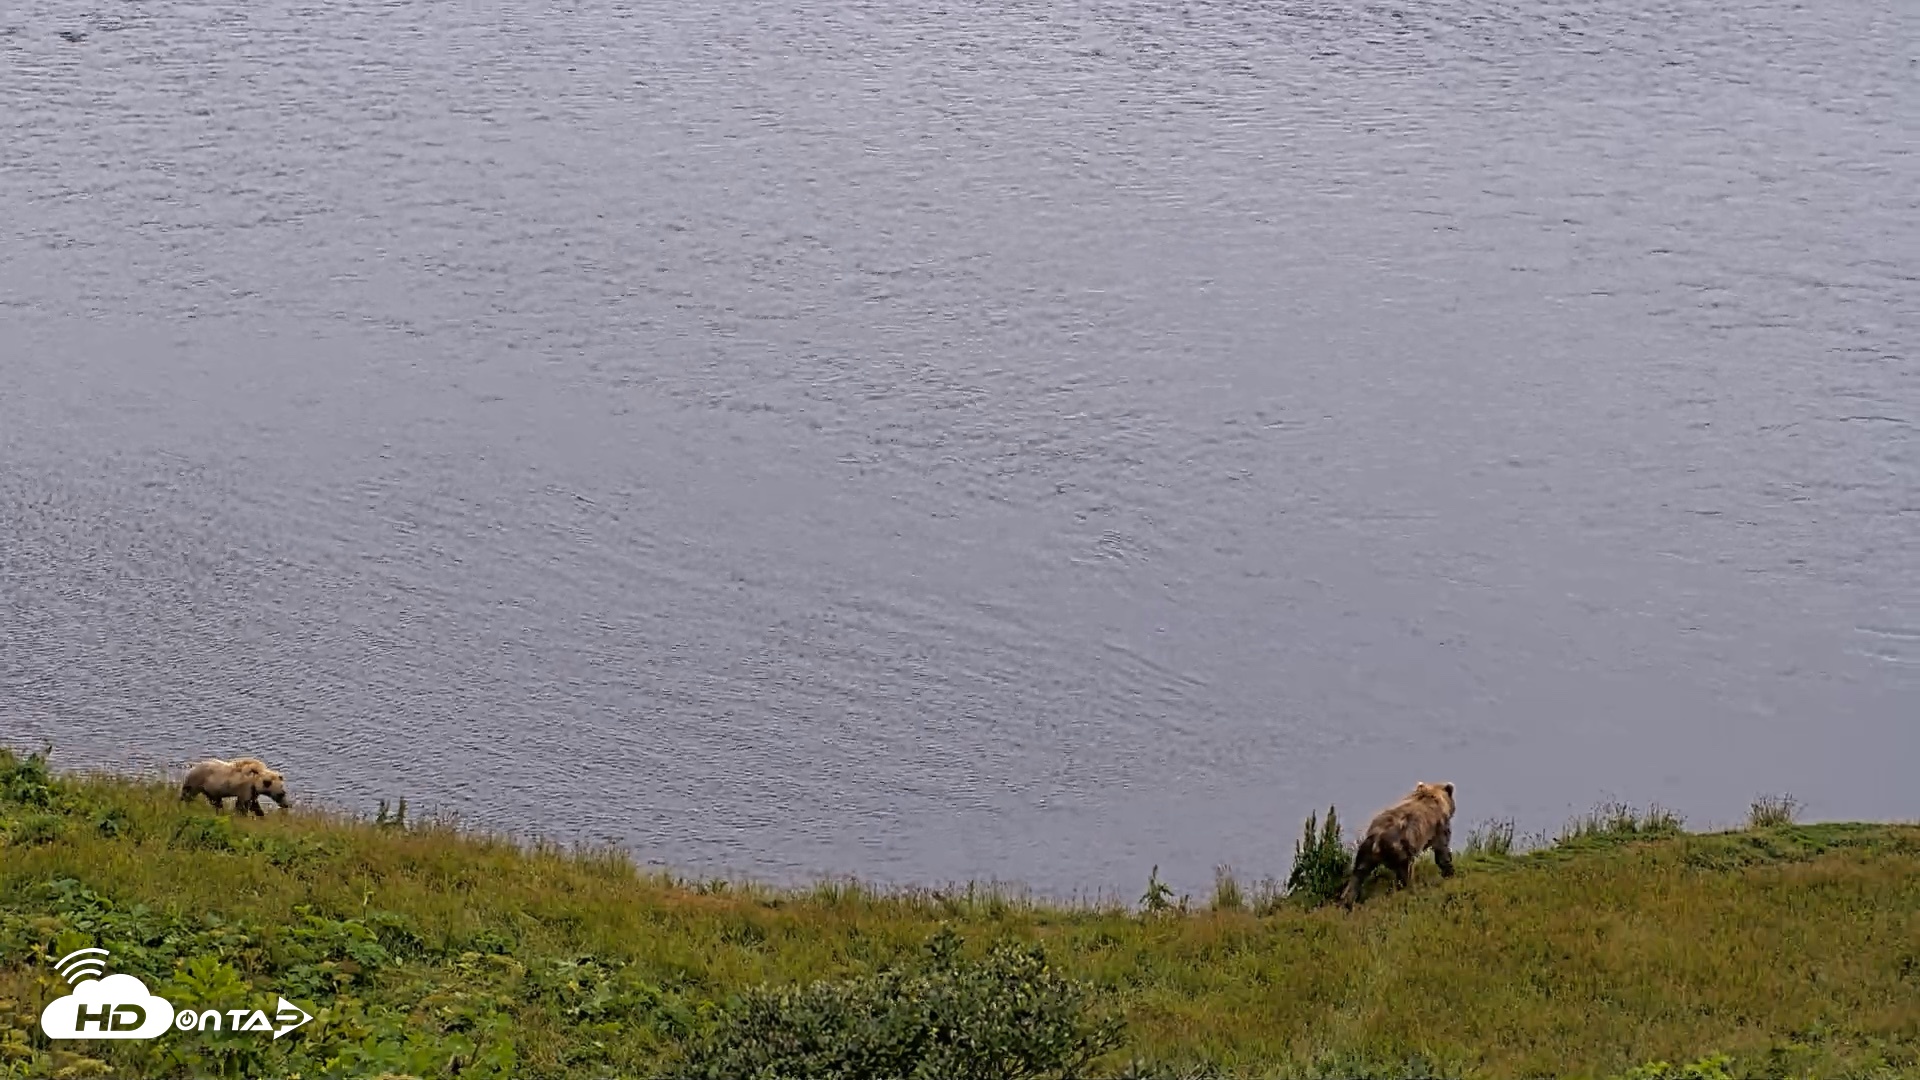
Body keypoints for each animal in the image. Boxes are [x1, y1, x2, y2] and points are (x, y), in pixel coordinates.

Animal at [1340, 780, 1456, 909]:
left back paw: (1346, 903)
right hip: (1400, 848)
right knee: (1405, 873)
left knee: (1358, 874)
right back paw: (1410, 891)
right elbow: (1442, 851)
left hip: (1365, 851)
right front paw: (1449, 872)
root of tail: (1377, 839)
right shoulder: (1438, 828)